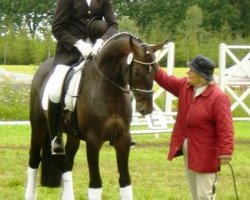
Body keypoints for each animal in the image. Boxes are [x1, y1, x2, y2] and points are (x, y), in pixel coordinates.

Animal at [24, 32, 166, 199]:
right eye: (137, 71)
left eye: (156, 70)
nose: (147, 109)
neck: (110, 92)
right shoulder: (93, 141)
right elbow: (96, 184)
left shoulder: (123, 139)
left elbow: (125, 181)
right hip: (38, 126)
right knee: (34, 159)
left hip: (72, 134)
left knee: (66, 164)